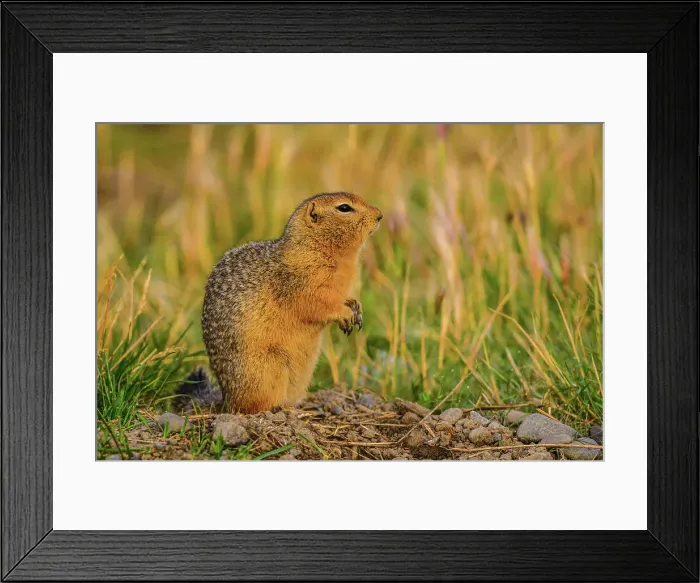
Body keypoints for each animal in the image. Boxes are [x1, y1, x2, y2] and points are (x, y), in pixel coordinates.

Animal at [176, 192, 383, 414]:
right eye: (344, 208)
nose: (380, 215)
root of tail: (225, 399)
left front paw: (356, 307)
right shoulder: (302, 285)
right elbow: (319, 304)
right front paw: (345, 314)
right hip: (268, 370)